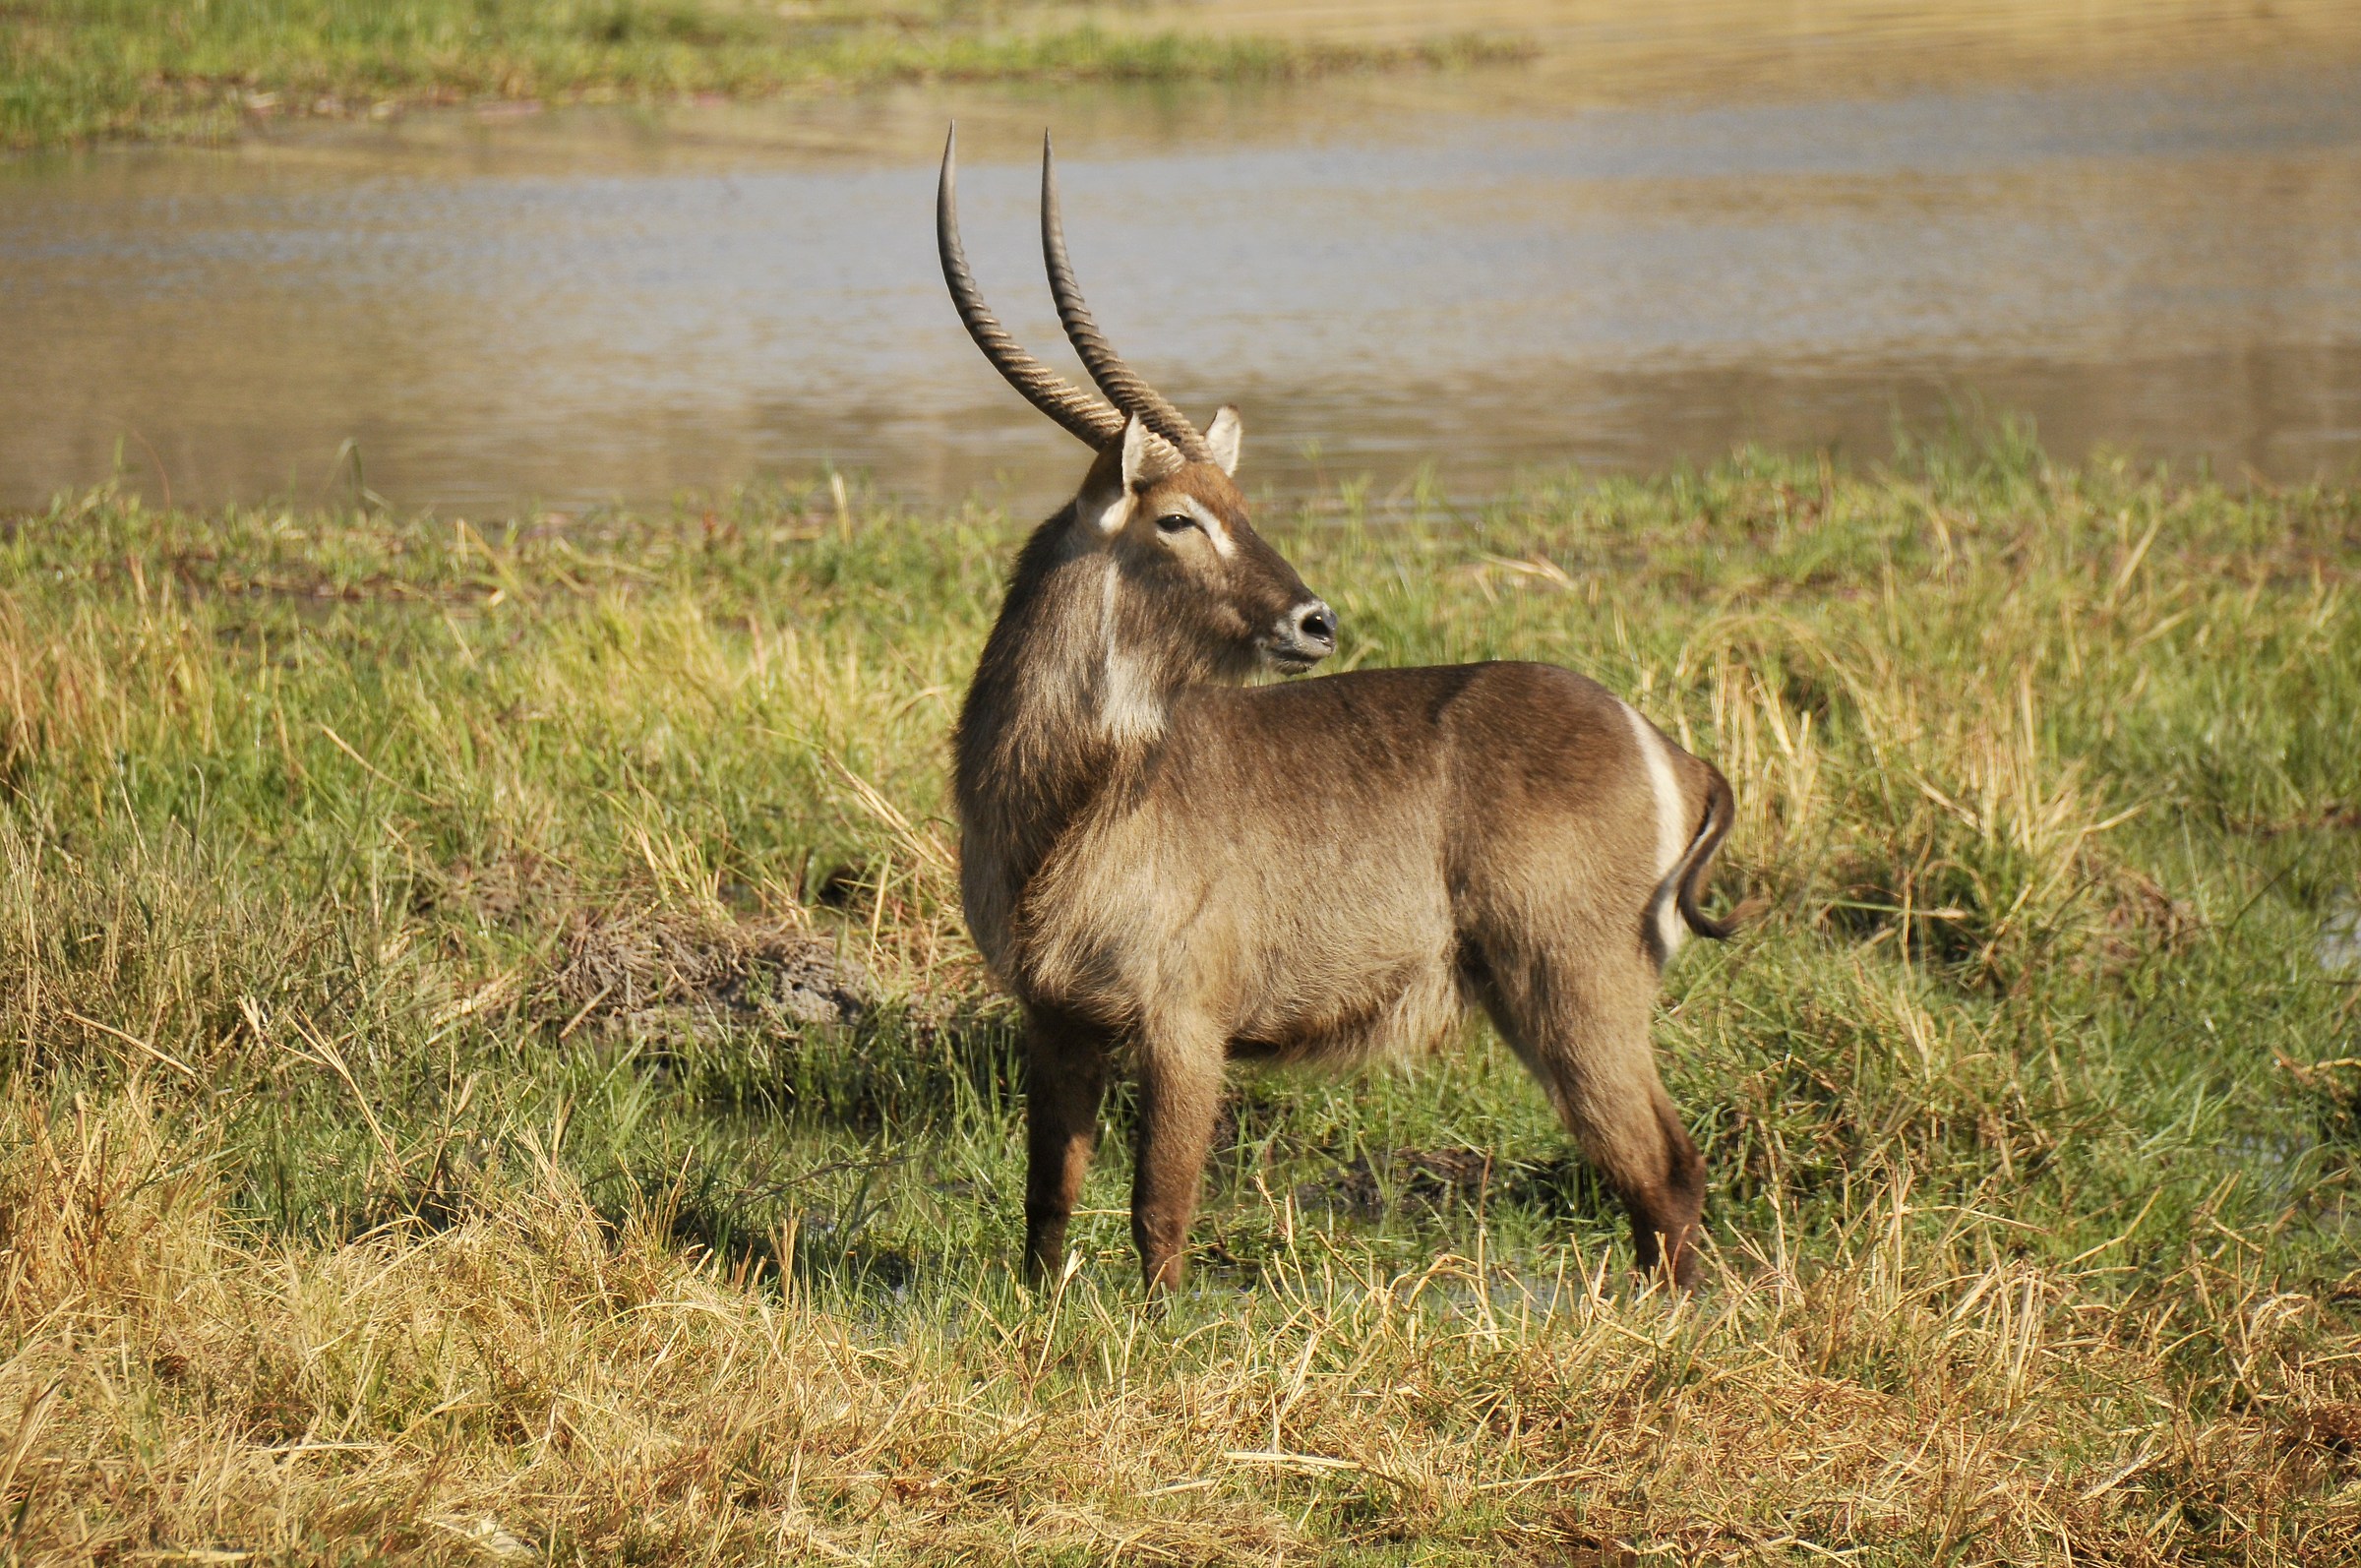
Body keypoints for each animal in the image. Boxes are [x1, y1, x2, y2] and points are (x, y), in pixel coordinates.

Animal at [936, 127, 1740, 1292]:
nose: (1314, 620)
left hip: (1574, 984)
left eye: (1237, 505)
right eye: (1179, 518)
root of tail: (1668, 748)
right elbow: (1048, 1204)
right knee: (1652, 1177)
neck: (1072, 801)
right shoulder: (1056, 1023)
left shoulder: (1185, 1021)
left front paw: (1150, 1331)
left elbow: (1157, 1214)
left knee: (1666, 1170)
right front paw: (1040, 1316)